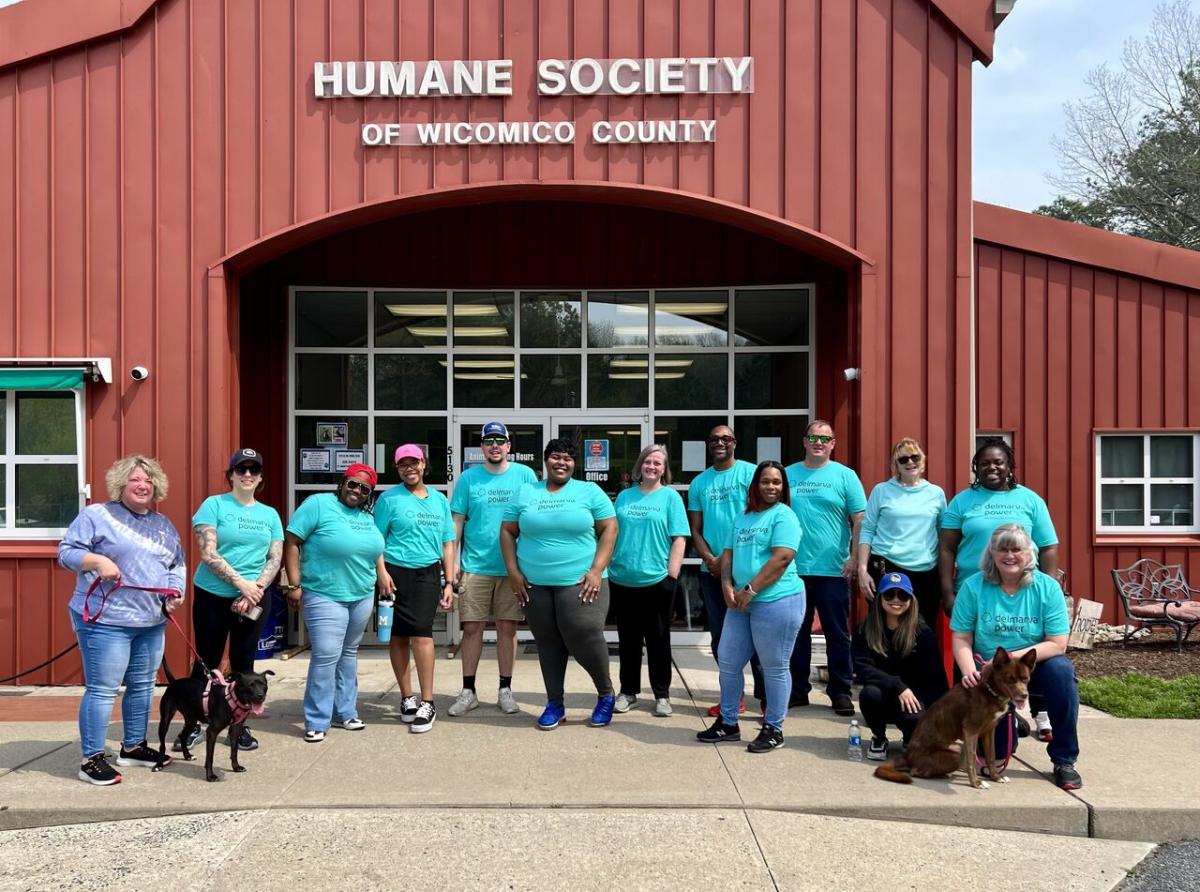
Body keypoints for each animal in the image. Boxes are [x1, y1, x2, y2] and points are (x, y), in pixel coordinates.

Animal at [873, 648, 1041, 787]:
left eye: (1025, 679)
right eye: (1010, 679)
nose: (1024, 695)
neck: (990, 690)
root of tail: (907, 756)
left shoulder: (989, 731)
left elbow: (991, 756)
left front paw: (995, 776)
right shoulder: (971, 730)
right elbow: (973, 757)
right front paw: (976, 783)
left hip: (959, 746)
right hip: (954, 753)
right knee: (915, 771)